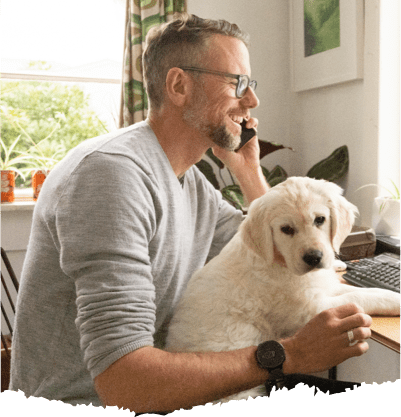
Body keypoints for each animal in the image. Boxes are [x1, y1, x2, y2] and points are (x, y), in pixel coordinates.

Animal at [164, 177, 398, 402]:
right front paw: (395, 300)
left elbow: (358, 290)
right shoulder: (309, 310)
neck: (280, 261)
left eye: (320, 220)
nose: (314, 258)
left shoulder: (321, 289)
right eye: (286, 229)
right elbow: (358, 295)